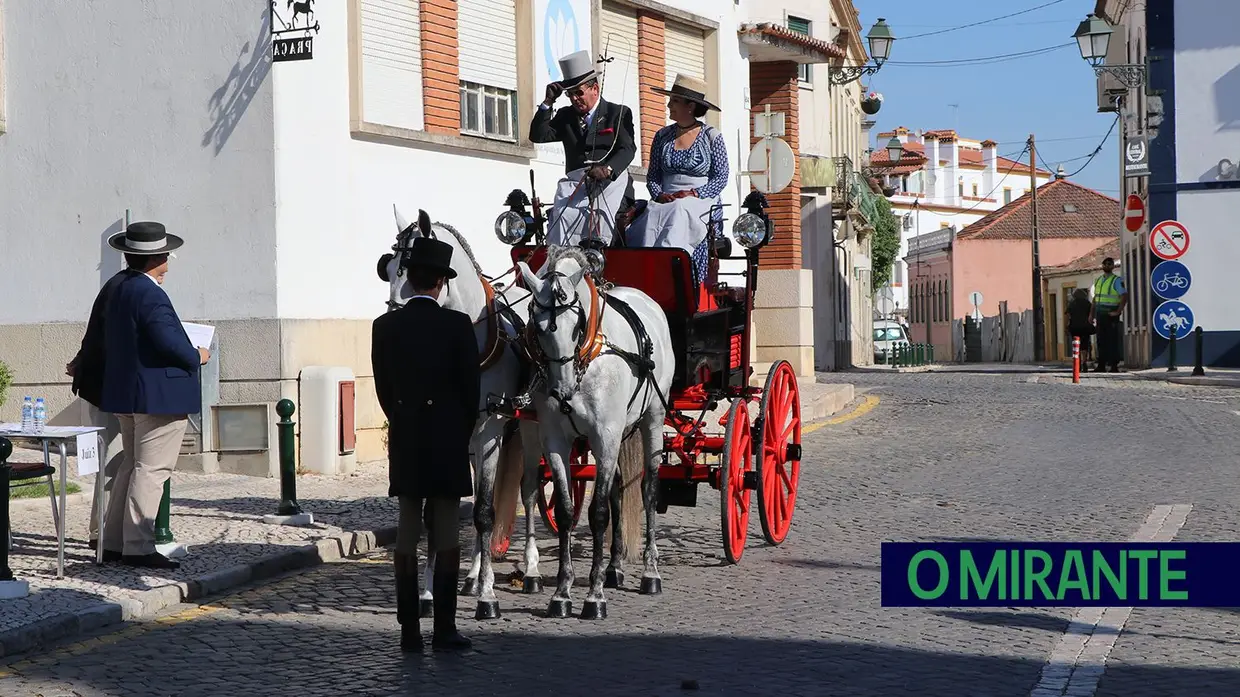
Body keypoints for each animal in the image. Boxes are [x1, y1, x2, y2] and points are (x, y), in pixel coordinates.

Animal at [513, 246, 674, 615]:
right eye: (537, 328)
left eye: (575, 327)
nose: (561, 391)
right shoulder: (555, 439)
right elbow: (565, 509)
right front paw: (562, 592)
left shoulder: (606, 435)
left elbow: (598, 512)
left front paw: (594, 595)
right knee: (617, 487)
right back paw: (613, 567)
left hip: (652, 418)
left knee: (648, 489)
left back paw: (650, 572)